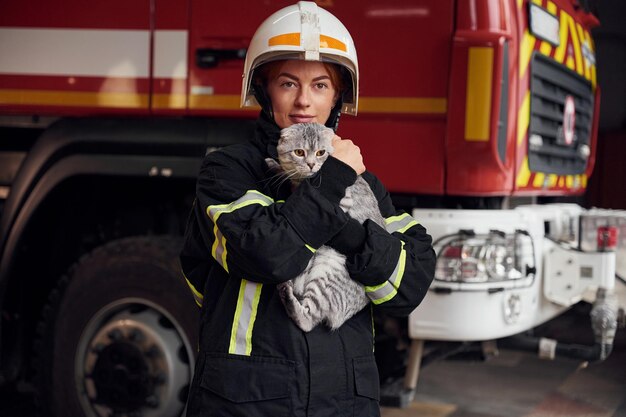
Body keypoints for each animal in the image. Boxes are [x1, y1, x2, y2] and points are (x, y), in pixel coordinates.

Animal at [264, 122, 386, 330]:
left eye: (321, 153)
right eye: (299, 152)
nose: (311, 164)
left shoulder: (341, 202)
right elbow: (287, 172)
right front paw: (274, 165)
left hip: (327, 276)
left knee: (308, 319)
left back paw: (287, 292)